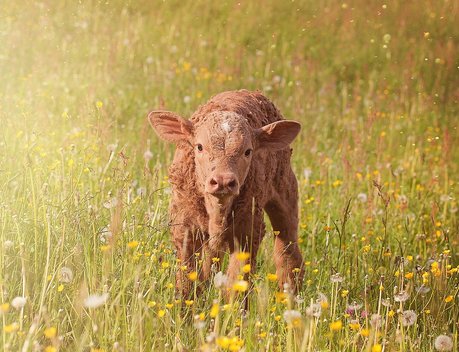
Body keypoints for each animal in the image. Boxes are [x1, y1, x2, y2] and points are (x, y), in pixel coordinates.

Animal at [149, 89, 304, 296]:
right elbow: (187, 280)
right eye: (199, 147)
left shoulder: (248, 231)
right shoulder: (184, 228)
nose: (223, 181)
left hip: (286, 190)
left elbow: (237, 284)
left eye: (248, 151)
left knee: (288, 251)